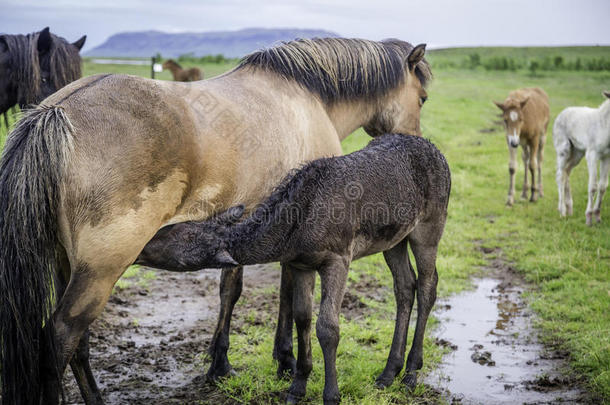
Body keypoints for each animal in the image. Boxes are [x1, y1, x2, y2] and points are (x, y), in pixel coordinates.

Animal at [139, 134, 452, 402]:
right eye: (172, 228)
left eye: (171, 237)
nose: (141, 245)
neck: (296, 230)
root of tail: (441, 156)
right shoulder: (301, 263)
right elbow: (302, 317)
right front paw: (297, 387)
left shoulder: (339, 257)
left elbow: (328, 326)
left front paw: (331, 395)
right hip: (393, 240)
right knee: (404, 286)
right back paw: (388, 373)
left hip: (430, 224)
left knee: (428, 285)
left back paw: (410, 373)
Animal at [552, 90, 608, 224]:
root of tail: (562, 113)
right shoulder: (592, 155)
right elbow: (593, 186)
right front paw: (589, 218)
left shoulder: (606, 157)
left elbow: (603, 186)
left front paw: (598, 216)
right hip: (563, 149)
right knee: (560, 175)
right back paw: (562, 211)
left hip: (577, 153)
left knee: (566, 172)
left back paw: (569, 209)